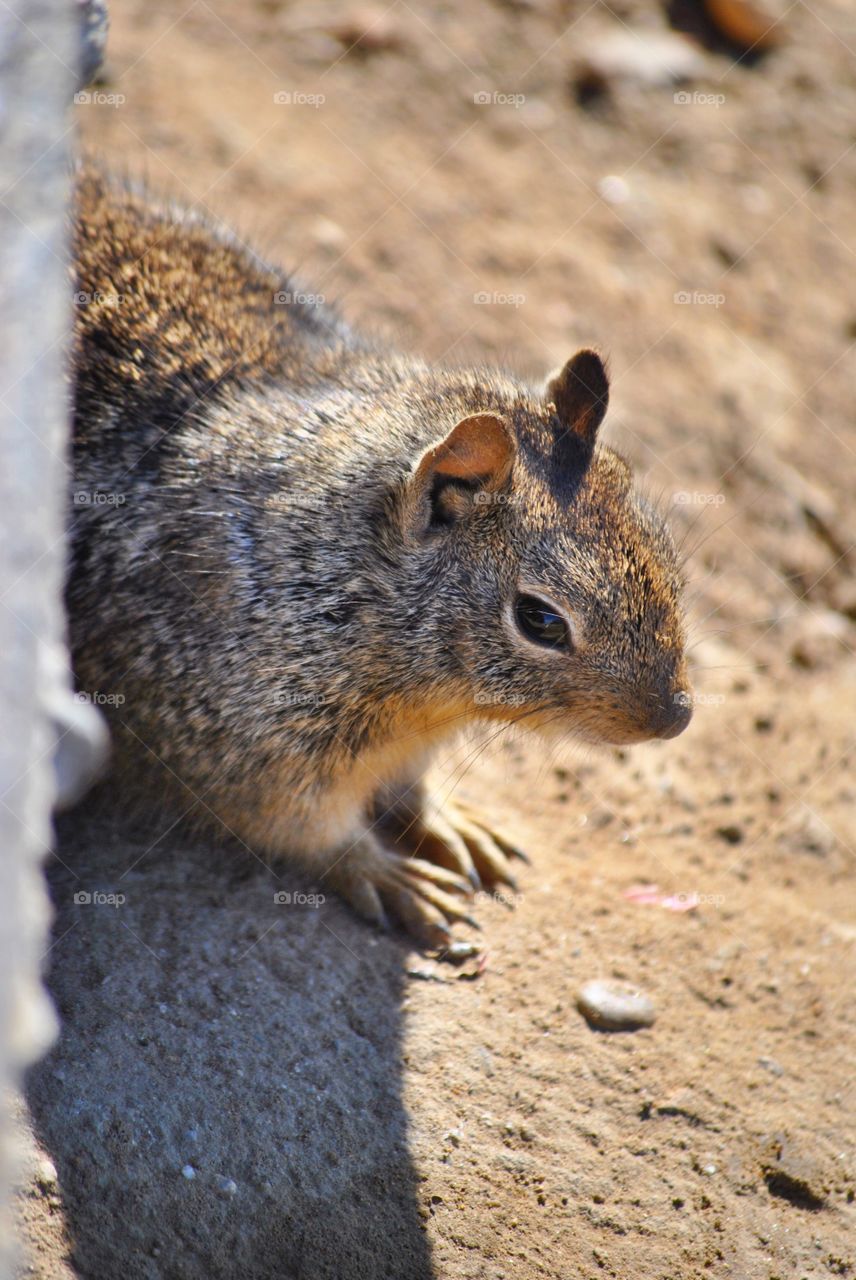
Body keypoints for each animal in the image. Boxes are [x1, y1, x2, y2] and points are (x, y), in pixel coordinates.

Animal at [66, 165, 693, 946]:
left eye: (662, 550)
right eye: (541, 621)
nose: (675, 718)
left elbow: (409, 792)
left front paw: (450, 825)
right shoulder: (234, 747)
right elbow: (307, 831)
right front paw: (388, 875)